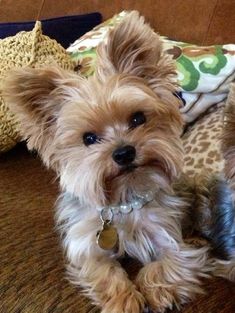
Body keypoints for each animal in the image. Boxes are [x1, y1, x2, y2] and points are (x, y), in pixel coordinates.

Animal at [3, 11, 233, 312]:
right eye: (89, 138)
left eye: (137, 118)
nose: (124, 153)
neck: (125, 199)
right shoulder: (88, 246)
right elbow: (105, 271)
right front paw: (125, 300)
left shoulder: (172, 240)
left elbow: (166, 264)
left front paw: (158, 293)